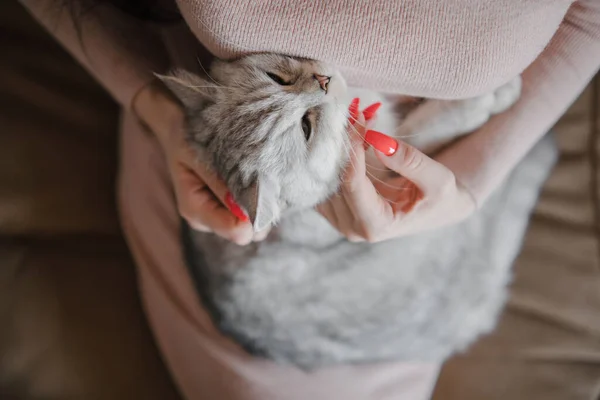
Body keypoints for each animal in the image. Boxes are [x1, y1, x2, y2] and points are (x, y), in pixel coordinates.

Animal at [161, 53, 556, 368]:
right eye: (306, 127)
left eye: (278, 78)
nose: (323, 81)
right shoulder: (388, 161)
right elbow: (429, 128)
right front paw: (491, 98)